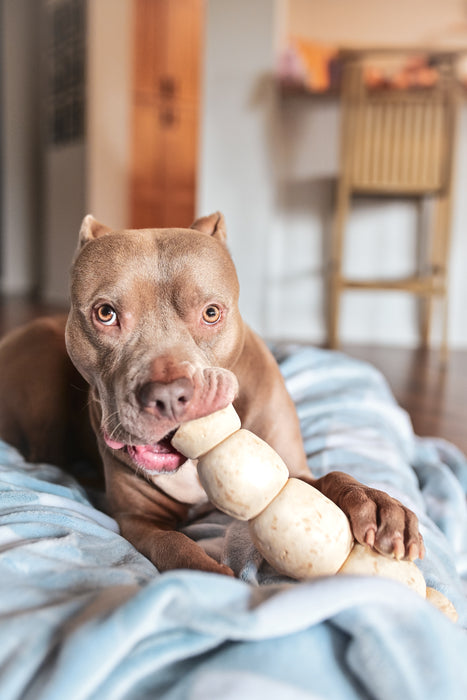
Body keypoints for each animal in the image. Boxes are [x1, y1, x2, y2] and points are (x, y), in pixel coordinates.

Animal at [0, 212, 426, 576]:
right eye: (106, 314)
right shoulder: (138, 520)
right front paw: (214, 578)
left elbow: (334, 476)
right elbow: (174, 545)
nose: (168, 396)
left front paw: (375, 504)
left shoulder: (289, 471)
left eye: (211, 313)